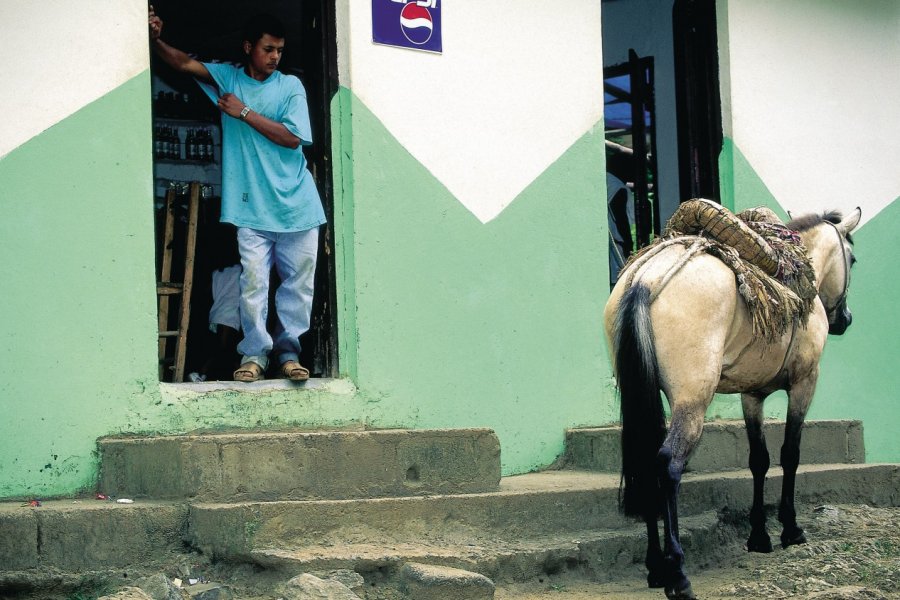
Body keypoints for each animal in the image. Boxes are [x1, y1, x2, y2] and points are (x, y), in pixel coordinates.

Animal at [604, 207, 856, 600]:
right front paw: (790, 529)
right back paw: (677, 573)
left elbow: (758, 460)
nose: (845, 319)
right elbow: (790, 454)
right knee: (668, 466)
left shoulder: (752, 395)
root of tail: (645, 278)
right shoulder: (805, 383)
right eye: (853, 259)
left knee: (646, 462)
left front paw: (759, 536)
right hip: (691, 402)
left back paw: (655, 566)